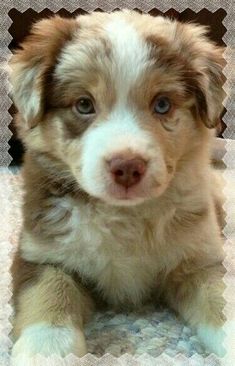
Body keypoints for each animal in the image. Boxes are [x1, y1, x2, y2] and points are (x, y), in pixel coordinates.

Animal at [9, 9, 228, 360]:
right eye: (84, 104)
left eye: (162, 104)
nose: (127, 167)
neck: (124, 216)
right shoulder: (42, 255)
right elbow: (48, 297)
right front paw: (47, 351)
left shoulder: (199, 260)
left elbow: (220, 300)